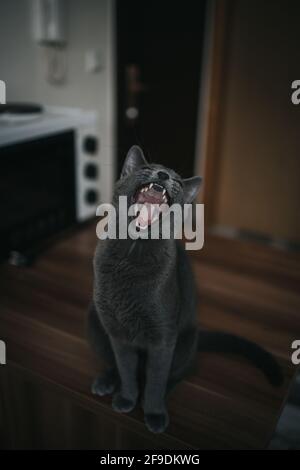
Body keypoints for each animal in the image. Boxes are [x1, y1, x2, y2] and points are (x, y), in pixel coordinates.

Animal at [88, 146, 282, 434]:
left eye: (178, 181)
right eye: (147, 168)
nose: (163, 174)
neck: (133, 252)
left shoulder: (163, 337)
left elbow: (156, 379)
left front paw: (153, 412)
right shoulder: (118, 332)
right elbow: (125, 368)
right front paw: (127, 398)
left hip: (185, 342)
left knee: (180, 373)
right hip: (95, 320)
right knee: (116, 364)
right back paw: (106, 382)